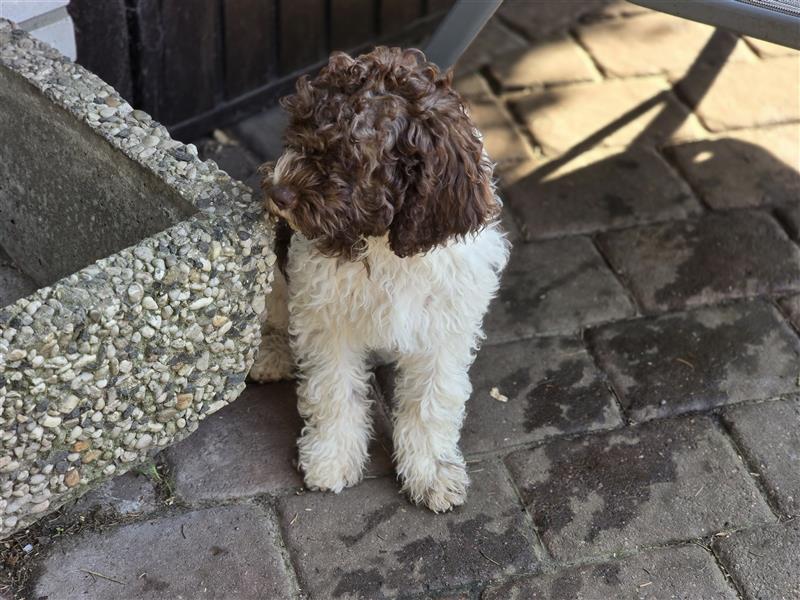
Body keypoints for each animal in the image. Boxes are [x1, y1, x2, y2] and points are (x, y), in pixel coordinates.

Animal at [250, 47, 510, 510]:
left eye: (349, 156)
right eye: (299, 131)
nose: (278, 193)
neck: (385, 245)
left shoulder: (444, 327)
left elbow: (431, 401)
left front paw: (431, 471)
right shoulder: (326, 318)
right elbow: (334, 389)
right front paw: (332, 458)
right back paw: (272, 354)